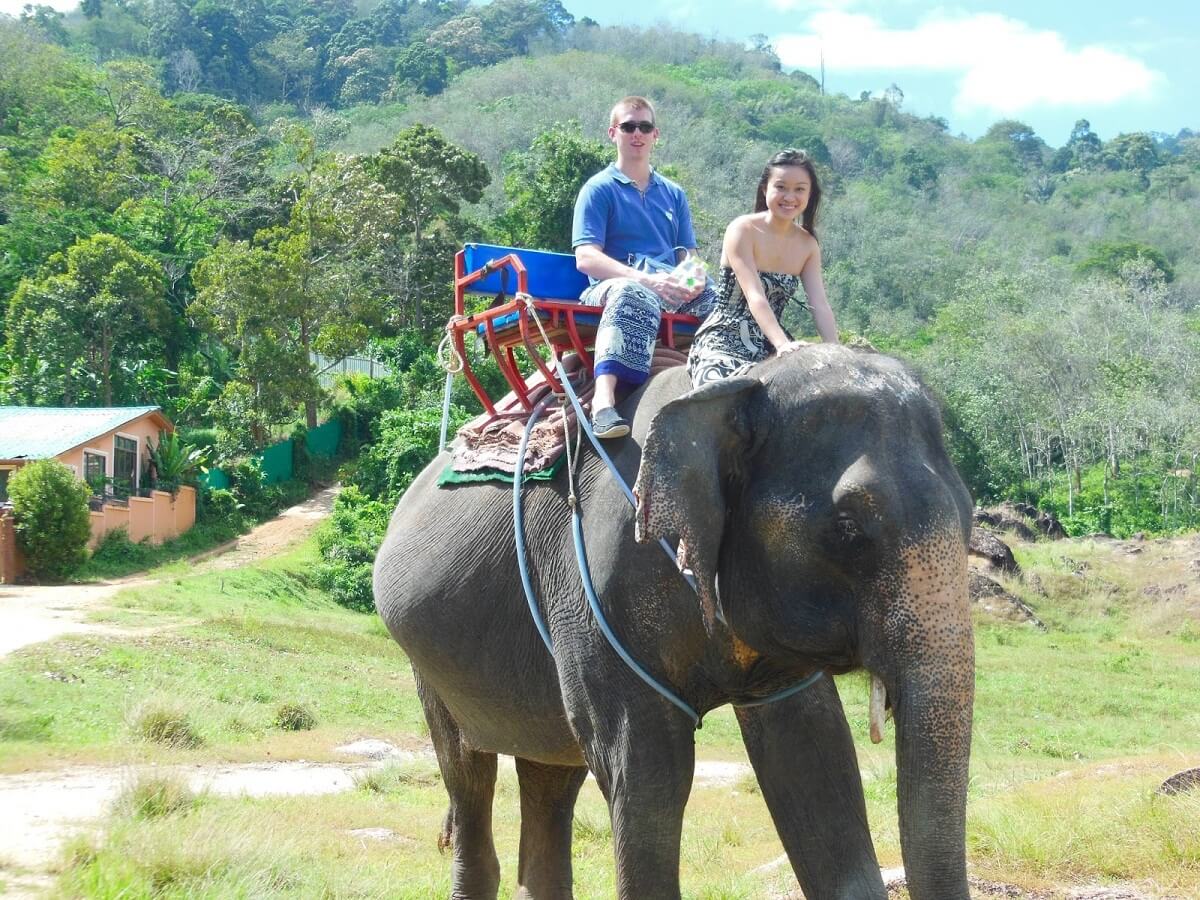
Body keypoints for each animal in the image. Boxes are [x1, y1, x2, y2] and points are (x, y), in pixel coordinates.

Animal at [373, 344, 975, 899]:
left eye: (969, 516)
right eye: (848, 529)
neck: (733, 388)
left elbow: (814, 756)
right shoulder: (597, 592)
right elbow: (649, 772)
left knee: (550, 773)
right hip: (430, 663)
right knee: (468, 773)